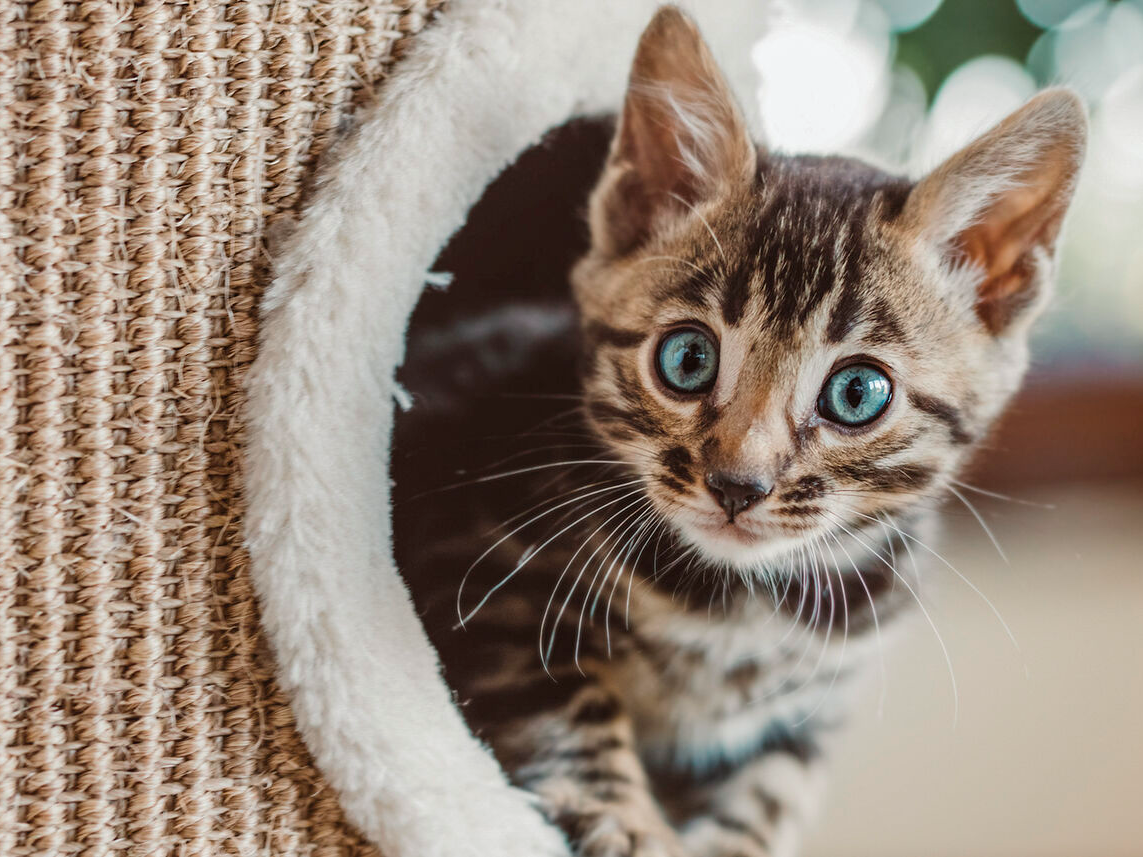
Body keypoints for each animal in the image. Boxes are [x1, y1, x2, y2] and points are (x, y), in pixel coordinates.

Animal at [393, 6, 1078, 857]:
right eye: (687, 359)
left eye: (856, 392)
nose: (736, 485)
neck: (740, 608)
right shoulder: (480, 573)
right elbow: (564, 699)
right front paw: (627, 822)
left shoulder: (811, 706)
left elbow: (773, 791)